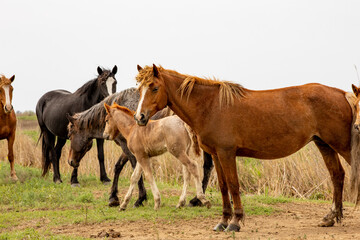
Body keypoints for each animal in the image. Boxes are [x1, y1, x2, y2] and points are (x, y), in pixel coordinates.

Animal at [65, 87, 212, 207]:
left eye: (70, 134)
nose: (70, 161)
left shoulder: (128, 147)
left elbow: (135, 168)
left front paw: (140, 199)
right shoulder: (129, 148)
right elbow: (119, 167)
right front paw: (114, 197)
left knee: (201, 167)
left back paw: (197, 199)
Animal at [133, 64, 360, 232]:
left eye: (154, 87)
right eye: (139, 89)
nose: (139, 117)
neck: (211, 106)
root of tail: (342, 93)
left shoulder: (227, 154)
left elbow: (234, 185)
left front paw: (235, 222)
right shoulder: (216, 155)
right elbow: (223, 186)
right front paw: (223, 221)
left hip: (342, 147)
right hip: (324, 145)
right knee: (337, 176)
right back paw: (330, 217)